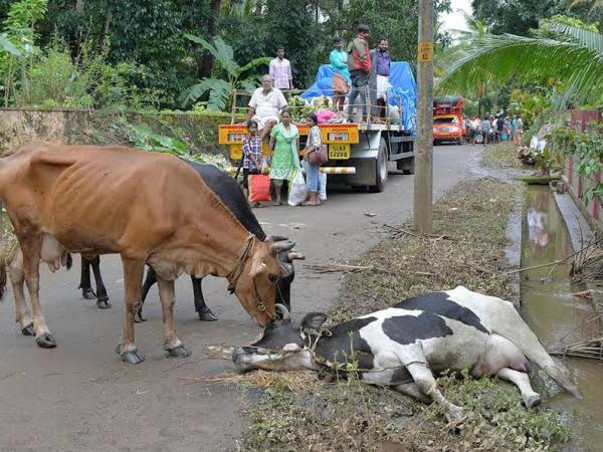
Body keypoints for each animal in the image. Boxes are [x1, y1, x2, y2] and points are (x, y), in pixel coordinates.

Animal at [0, 144, 294, 364]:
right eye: (272, 277)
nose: (272, 320)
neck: (179, 199)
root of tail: (14, 155)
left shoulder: (166, 258)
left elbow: (169, 302)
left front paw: (174, 343)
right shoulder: (133, 253)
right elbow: (132, 301)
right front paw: (128, 348)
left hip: (42, 235)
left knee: (13, 267)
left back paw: (26, 323)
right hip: (28, 230)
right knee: (31, 279)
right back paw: (42, 332)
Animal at [234, 286, 584, 424]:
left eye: (272, 329)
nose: (237, 351)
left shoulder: (409, 348)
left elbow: (428, 384)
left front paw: (457, 414)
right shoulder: (394, 379)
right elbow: (423, 394)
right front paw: (449, 410)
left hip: (515, 326)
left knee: (552, 367)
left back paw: (576, 396)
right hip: (485, 362)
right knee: (517, 372)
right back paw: (531, 398)